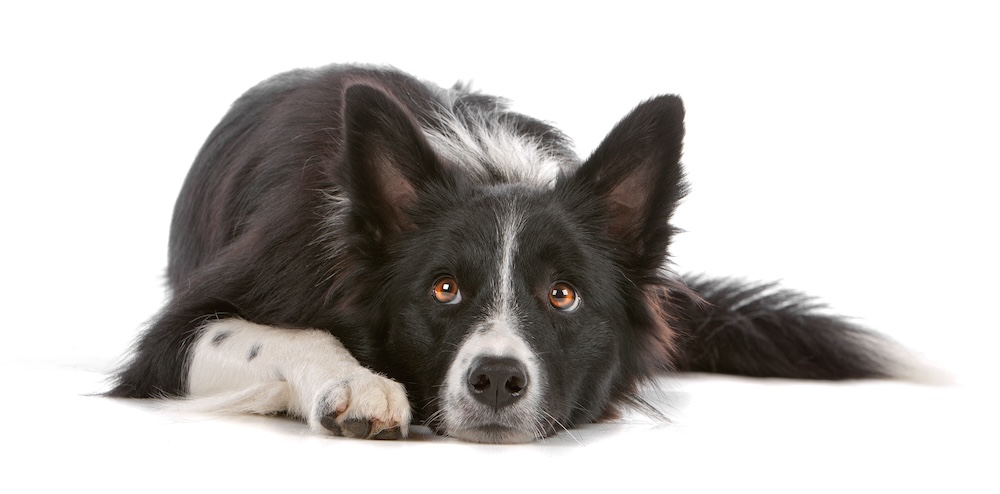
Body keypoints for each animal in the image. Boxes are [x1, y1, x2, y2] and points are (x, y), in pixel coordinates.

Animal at [109, 62, 892, 444]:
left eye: (563, 295)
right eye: (444, 289)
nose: (496, 380)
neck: (485, 166)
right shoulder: (173, 339)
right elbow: (282, 335)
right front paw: (357, 384)